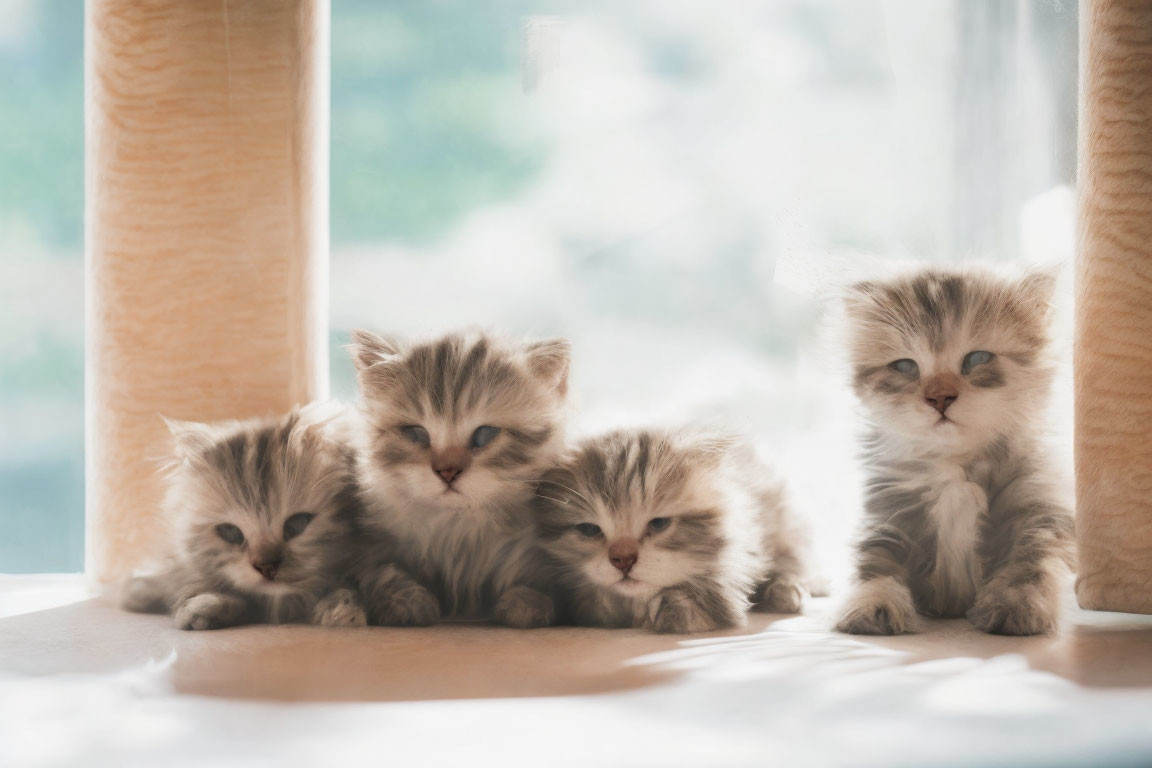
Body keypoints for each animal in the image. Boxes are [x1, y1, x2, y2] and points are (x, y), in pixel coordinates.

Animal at [347, 331, 569, 630]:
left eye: (484, 435)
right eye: (417, 433)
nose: (447, 472)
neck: (459, 530)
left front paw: (526, 600)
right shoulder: (367, 547)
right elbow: (385, 572)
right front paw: (407, 601)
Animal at [834, 267, 1073, 640]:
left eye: (976, 359)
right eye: (905, 366)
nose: (939, 398)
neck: (954, 467)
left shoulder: (1036, 505)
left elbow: (1029, 559)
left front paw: (1016, 604)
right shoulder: (890, 516)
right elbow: (875, 563)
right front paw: (871, 604)